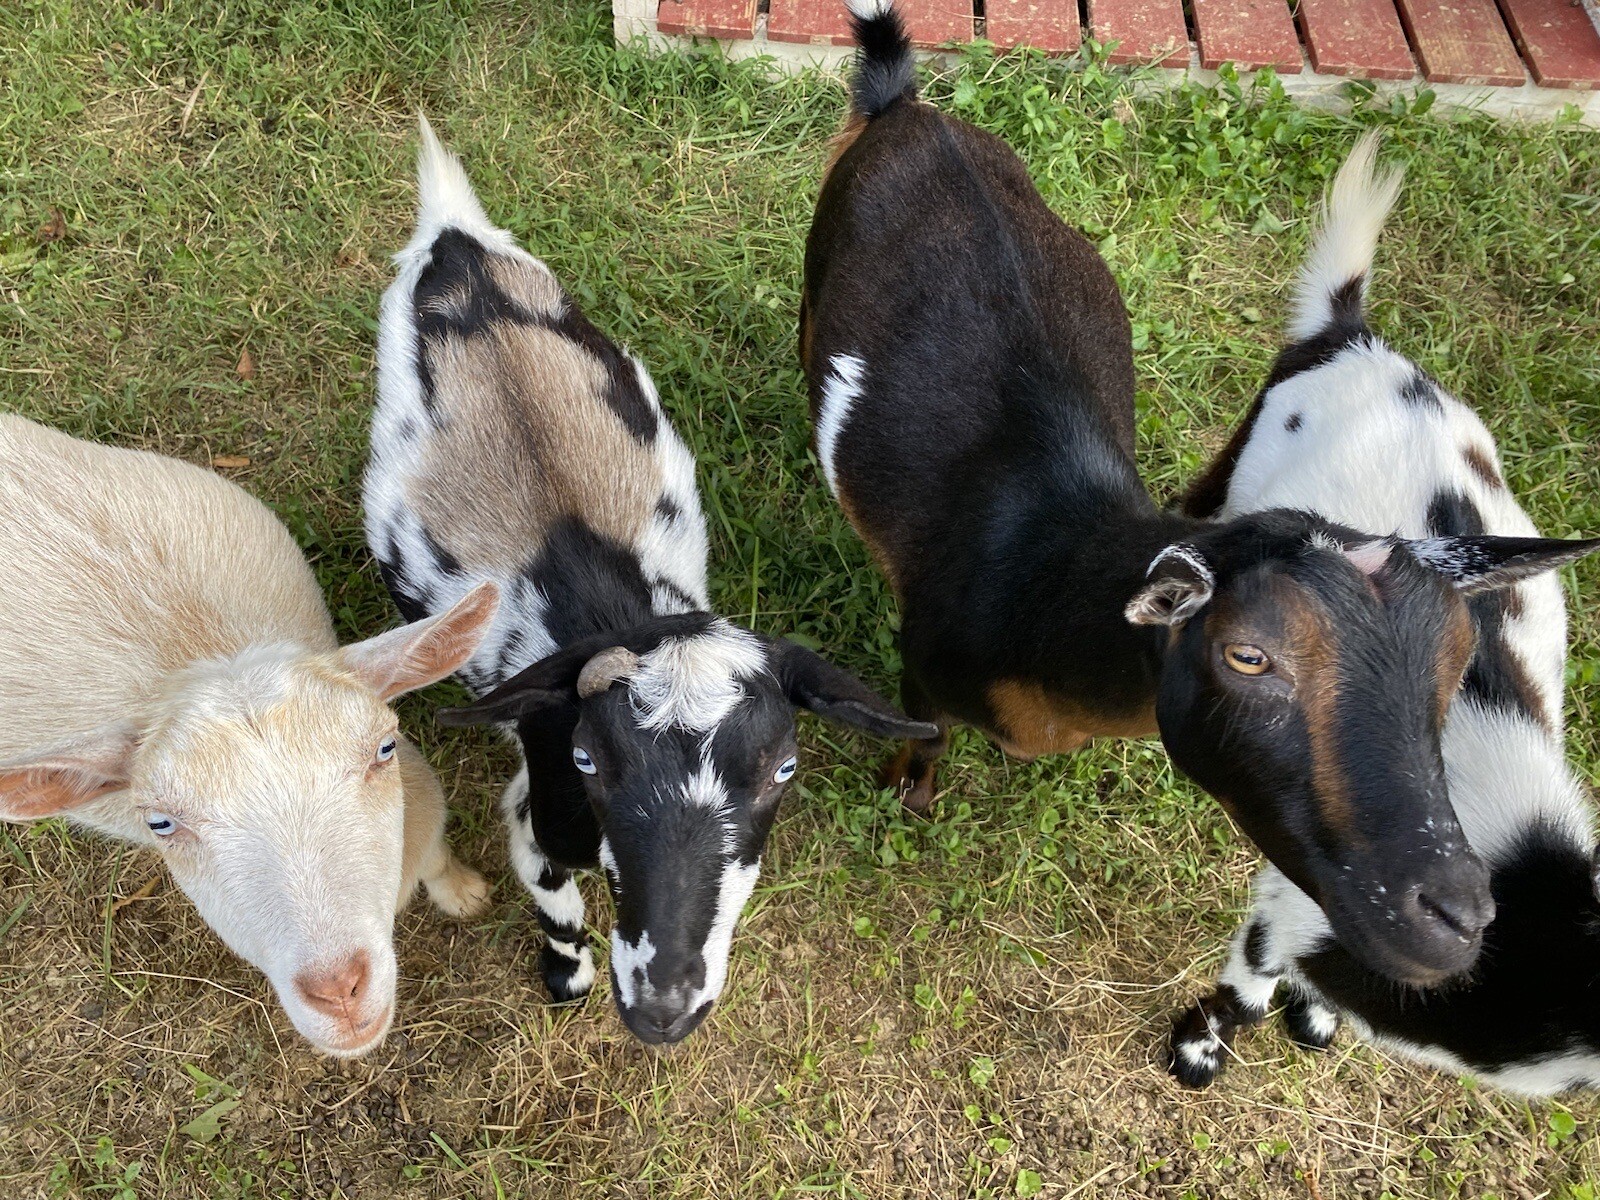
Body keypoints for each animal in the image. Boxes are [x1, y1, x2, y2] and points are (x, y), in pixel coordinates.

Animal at [0, 414, 498, 1056]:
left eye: (383, 748)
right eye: (160, 824)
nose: (339, 991)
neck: (201, 652)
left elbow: (437, 855)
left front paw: (464, 893)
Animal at [364, 117, 935, 1046]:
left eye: (784, 767)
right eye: (587, 757)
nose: (664, 1008)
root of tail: (457, 250)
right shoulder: (537, 809)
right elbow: (556, 906)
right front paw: (566, 977)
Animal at [799, 0, 1596, 987]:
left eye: (1458, 664)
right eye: (1248, 655)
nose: (1453, 915)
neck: (1041, 577)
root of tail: (909, 110)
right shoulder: (923, 653)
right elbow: (925, 732)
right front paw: (905, 797)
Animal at [1171, 134, 1600, 1095]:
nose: (1453, 916)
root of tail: (1357, 337)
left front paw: (1315, 1021)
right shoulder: (1298, 904)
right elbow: (1249, 979)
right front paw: (1199, 1049)